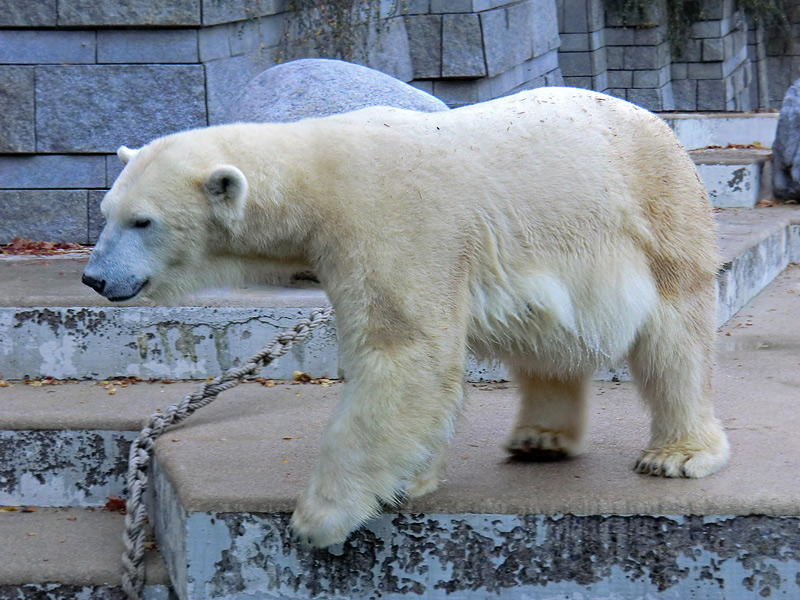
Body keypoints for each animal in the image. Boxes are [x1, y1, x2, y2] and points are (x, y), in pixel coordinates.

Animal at [83, 86, 732, 548]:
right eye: (106, 210)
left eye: (143, 221)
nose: (94, 277)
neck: (317, 172)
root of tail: (660, 125)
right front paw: (409, 480)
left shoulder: (392, 222)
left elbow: (405, 351)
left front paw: (319, 518)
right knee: (550, 338)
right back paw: (541, 437)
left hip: (656, 213)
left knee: (676, 336)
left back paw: (678, 454)